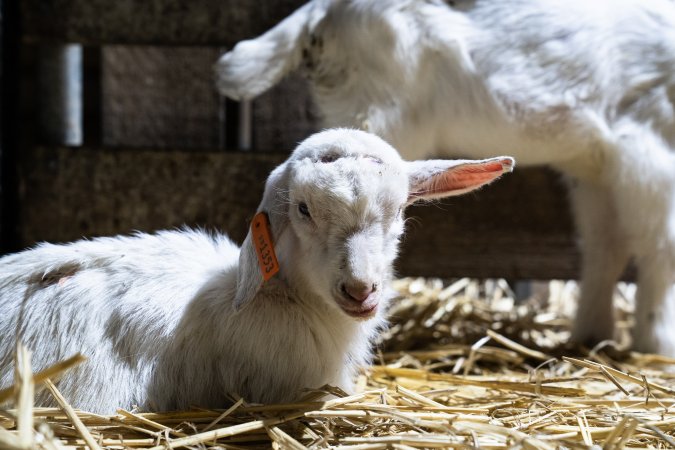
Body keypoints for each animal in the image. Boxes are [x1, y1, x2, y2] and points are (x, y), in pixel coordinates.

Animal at [217, 0, 675, 356]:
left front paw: (595, 334)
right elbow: (661, 245)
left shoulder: (598, 166)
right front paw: (656, 342)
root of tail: (322, 11)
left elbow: (604, 244)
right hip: (378, 107)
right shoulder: (650, 136)